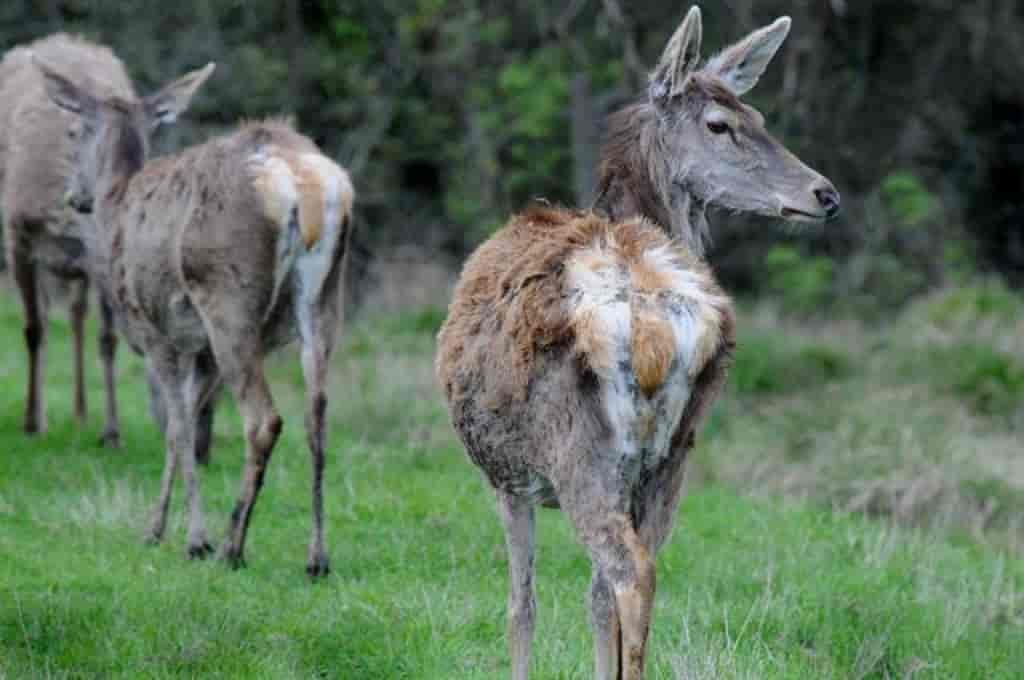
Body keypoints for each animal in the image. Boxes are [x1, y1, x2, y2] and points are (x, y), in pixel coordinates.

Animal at [0, 33, 216, 450]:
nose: (203, 448)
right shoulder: (18, 235)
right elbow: (34, 330)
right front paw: (33, 422)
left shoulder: (98, 261)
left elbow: (107, 339)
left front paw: (111, 432)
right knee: (50, 321)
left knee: (77, 316)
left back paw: (82, 411)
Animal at [35, 59, 356, 577]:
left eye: (74, 129)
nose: (74, 196)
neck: (117, 208)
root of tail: (300, 183)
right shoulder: (202, 351)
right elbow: (179, 425)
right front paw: (155, 527)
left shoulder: (156, 331)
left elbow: (178, 425)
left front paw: (192, 539)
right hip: (325, 299)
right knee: (317, 414)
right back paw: (317, 556)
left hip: (228, 298)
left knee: (264, 419)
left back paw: (231, 545)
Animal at [436, 6, 835, 680]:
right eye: (723, 123)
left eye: (756, 118)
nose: (825, 193)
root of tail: (655, 331)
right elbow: (584, 605)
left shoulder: (507, 476)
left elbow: (522, 606)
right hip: (671, 459)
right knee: (629, 578)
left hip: (579, 451)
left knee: (630, 573)